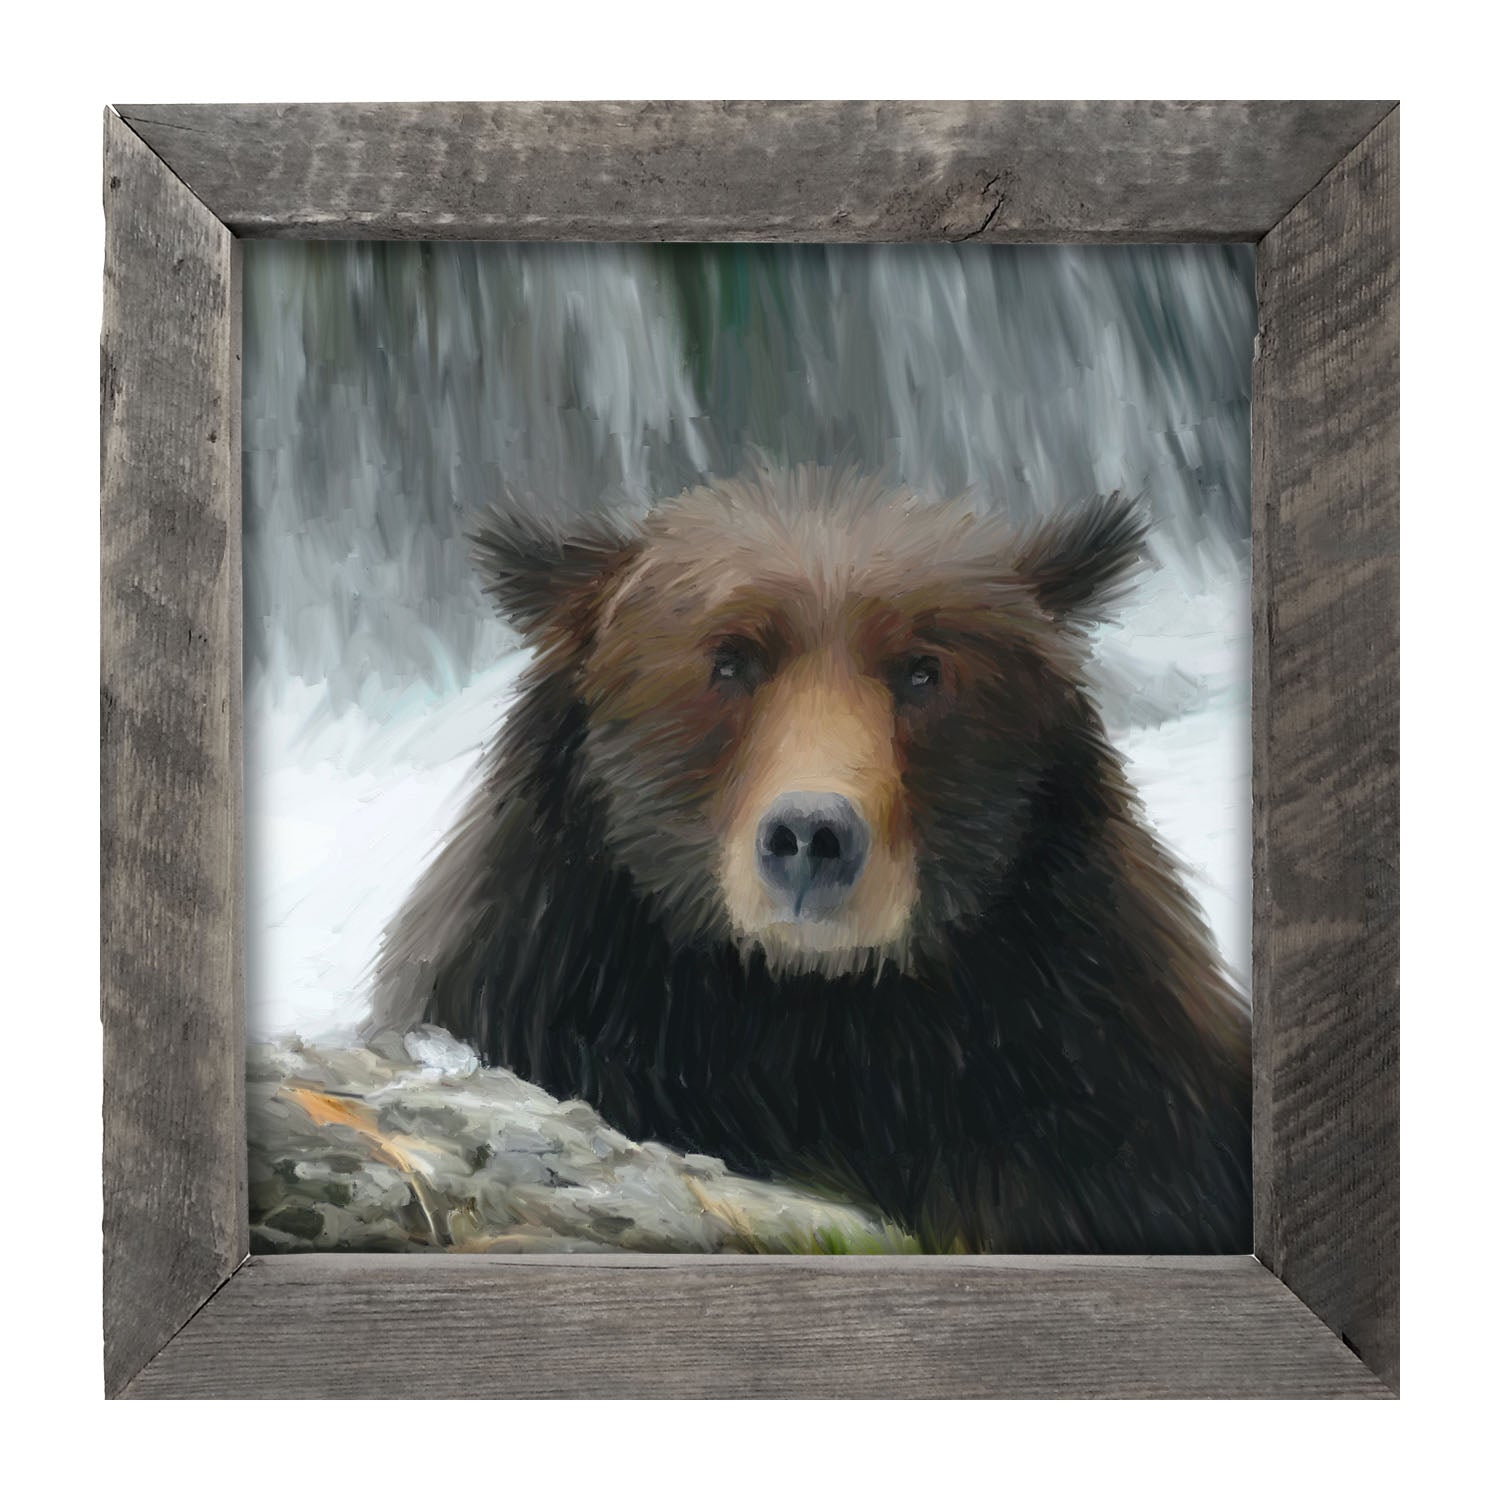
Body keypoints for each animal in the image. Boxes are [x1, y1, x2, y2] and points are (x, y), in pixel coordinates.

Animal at [373, 466, 1251, 1253]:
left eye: (923, 669)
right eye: (729, 659)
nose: (810, 836)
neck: (810, 1016)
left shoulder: (1095, 1074)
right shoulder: (546, 990)